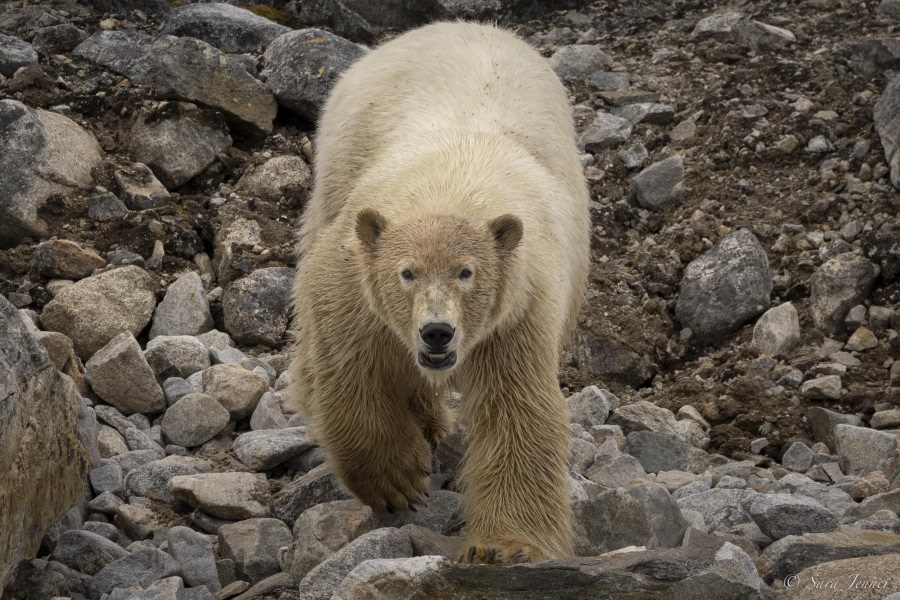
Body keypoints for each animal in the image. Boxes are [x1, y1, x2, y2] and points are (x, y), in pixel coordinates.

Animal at [288, 21, 596, 564]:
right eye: (407, 273)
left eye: (467, 273)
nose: (437, 332)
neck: (453, 191)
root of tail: (450, 24)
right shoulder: (354, 272)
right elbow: (351, 366)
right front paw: (396, 480)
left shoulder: (517, 309)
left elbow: (517, 410)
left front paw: (504, 547)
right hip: (339, 160)